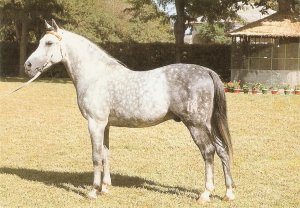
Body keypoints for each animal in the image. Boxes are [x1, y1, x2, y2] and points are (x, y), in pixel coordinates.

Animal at [24, 19, 234, 203]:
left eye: (49, 42)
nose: (28, 66)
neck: (96, 75)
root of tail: (206, 71)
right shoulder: (105, 125)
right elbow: (105, 154)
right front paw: (105, 188)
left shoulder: (95, 123)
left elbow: (96, 156)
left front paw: (93, 191)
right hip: (208, 125)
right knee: (222, 150)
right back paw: (229, 193)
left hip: (195, 125)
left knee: (208, 152)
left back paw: (205, 194)